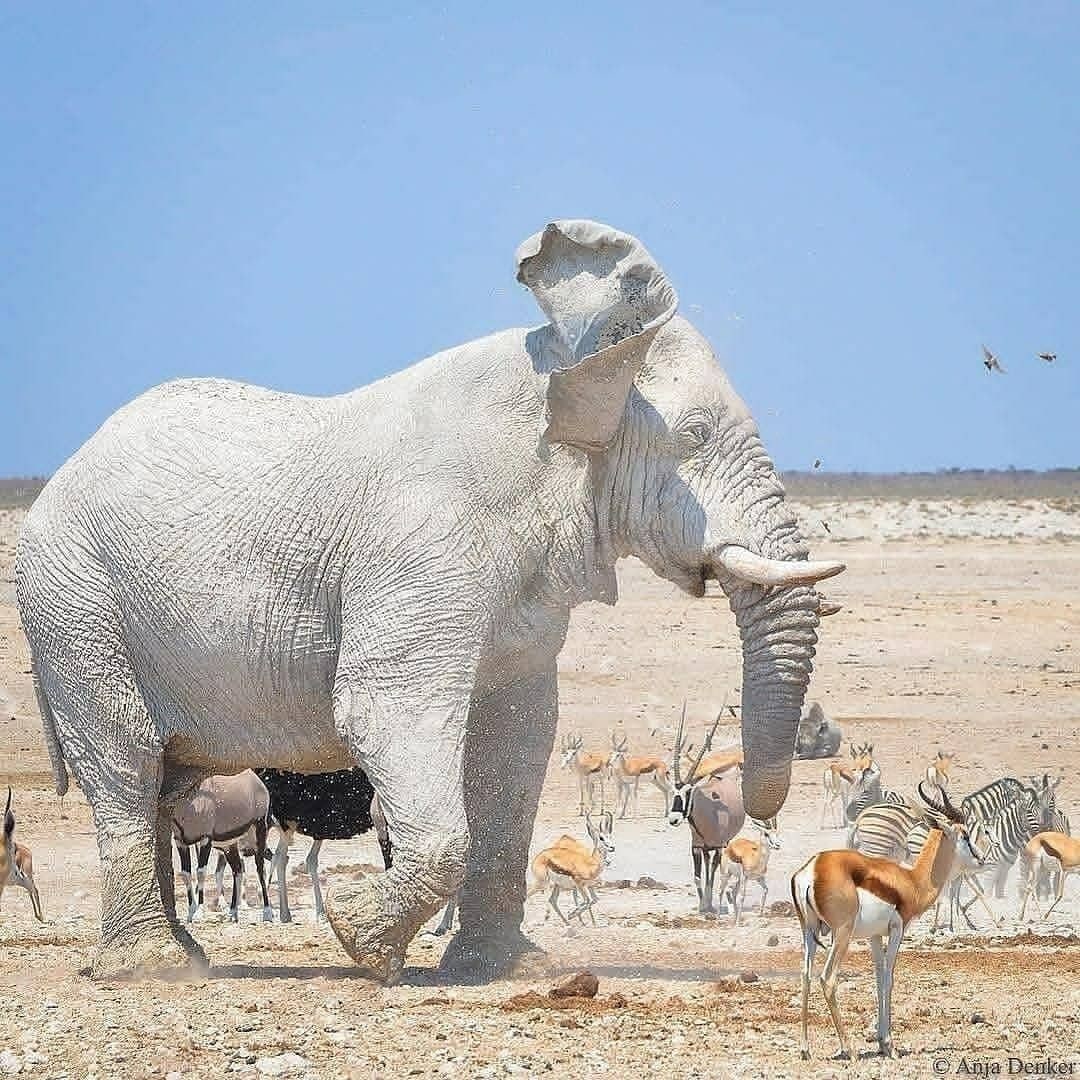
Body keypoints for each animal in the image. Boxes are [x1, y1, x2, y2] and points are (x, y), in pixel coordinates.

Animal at [16, 218, 845, 983]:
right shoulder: (419, 548)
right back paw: (154, 967)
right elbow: (383, 711)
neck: (566, 366)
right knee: (127, 766)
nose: (750, 811)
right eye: (695, 436)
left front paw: (504, 970)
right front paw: (360, 942)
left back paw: (181, 955)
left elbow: (517, 734)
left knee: (168, 782)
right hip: (73, 602)